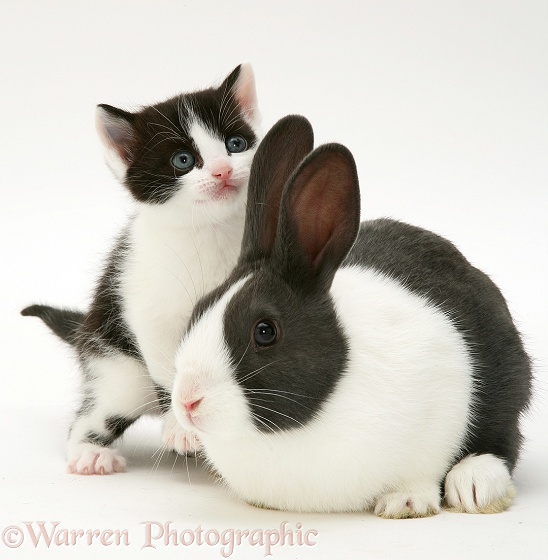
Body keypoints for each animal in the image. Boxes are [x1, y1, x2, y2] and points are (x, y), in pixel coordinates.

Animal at [22, 63, 262, 474]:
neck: (210, 231)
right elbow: (170, 366)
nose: (221, 171)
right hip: (116, 368)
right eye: (183, 160)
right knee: (93, 413)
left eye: (235, 144)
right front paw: (182, 428)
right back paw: (90, 453)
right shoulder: (148, 309)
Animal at [170, 116, 532, 520]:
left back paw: (474, 484)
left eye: (264, 331)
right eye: (199, 309)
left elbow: (426, 467)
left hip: (510, 370)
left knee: (505, 436)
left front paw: (405, 501)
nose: (187, 401)